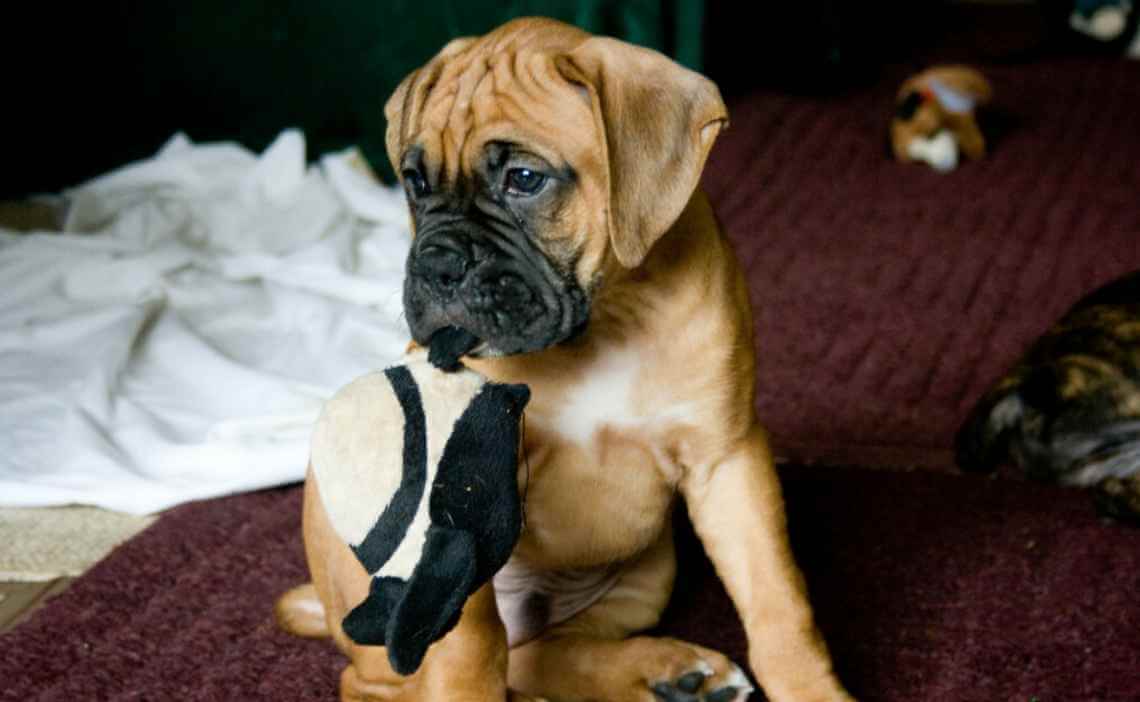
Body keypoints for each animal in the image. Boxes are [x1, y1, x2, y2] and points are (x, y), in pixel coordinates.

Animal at [278, 16, 857, 702]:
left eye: (525, 179)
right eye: (415, 182)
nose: (436, 265)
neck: (605, 320)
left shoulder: (728, 460)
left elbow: (778, 604)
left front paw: (810, 688)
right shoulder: (469, 482)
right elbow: (469, 646)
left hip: (646, 574)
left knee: (539, 653)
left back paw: (669, 671)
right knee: (396, 671)